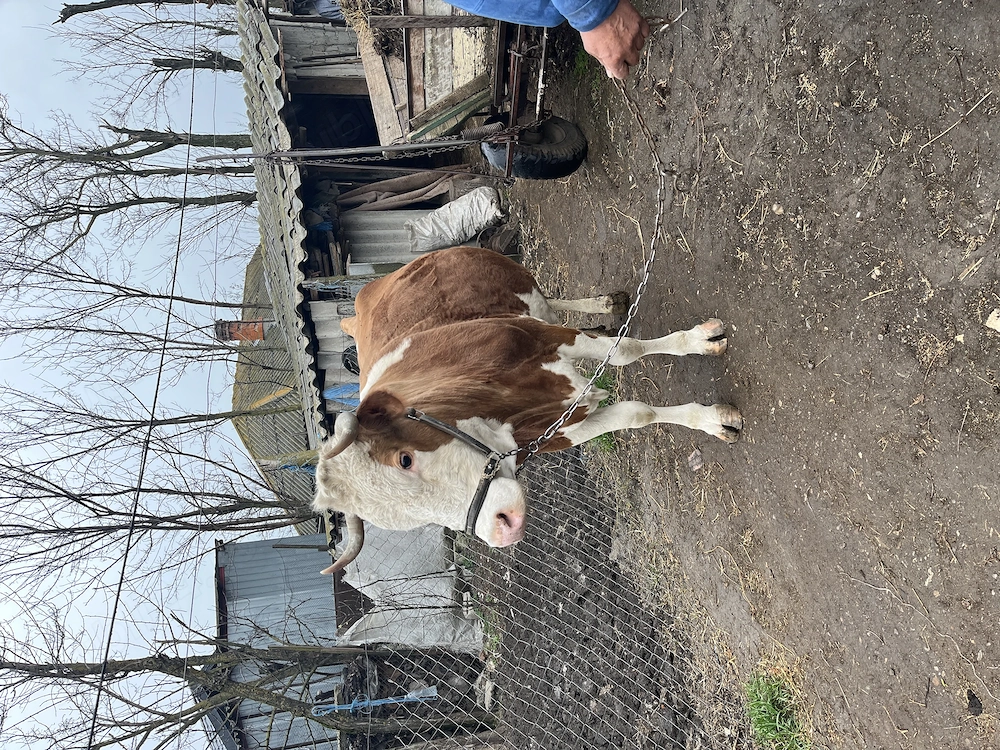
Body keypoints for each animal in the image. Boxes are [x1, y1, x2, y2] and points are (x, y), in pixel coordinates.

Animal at [313, 246, 742, 574]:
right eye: (411, 523)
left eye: (404, 459)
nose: (502, 529)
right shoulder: (554, 431)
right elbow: (636, 414)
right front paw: (710, 419)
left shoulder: (544, 338)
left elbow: (626, 352)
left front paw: (698, 346)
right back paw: (606, 308)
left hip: (519, 283)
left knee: (547, 299)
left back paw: (607, 304)